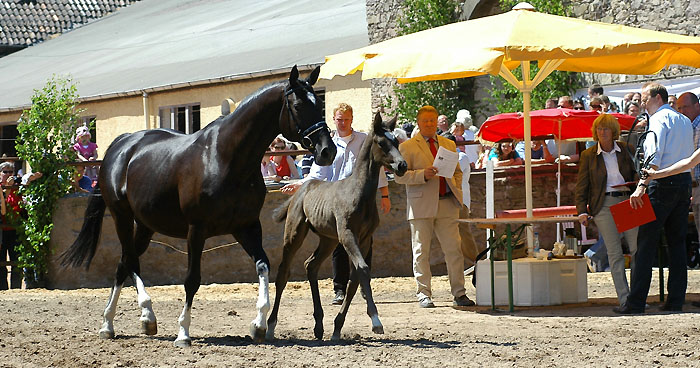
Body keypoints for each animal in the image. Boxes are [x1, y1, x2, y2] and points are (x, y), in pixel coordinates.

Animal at [60, 67, 336, 348]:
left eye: (319, 102)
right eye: (298, 105)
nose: (327, 151)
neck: (226, 159)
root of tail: (122, 144)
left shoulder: (247, 227)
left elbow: (263, 266)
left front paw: (258, 325)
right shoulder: (197, 229)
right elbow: (192, 279)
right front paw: (183, 332)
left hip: (146, 225)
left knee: (125, 263)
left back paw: (134, 320)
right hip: (122, 217)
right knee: (128, 260)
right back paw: (120, 321)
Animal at [268, 113, 410, 340]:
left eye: (396, 141)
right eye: (381, 142)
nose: (402, 165)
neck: (358, 193)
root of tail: (303, 188)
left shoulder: (365, 238)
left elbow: (355, 278)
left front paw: (337, 327)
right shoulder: (347, 235)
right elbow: (363, 269)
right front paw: (376, 321)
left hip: (328, 240)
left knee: (311, 265)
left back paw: (319, 326)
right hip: (295, 233)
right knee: (283, 273)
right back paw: (270, 325)